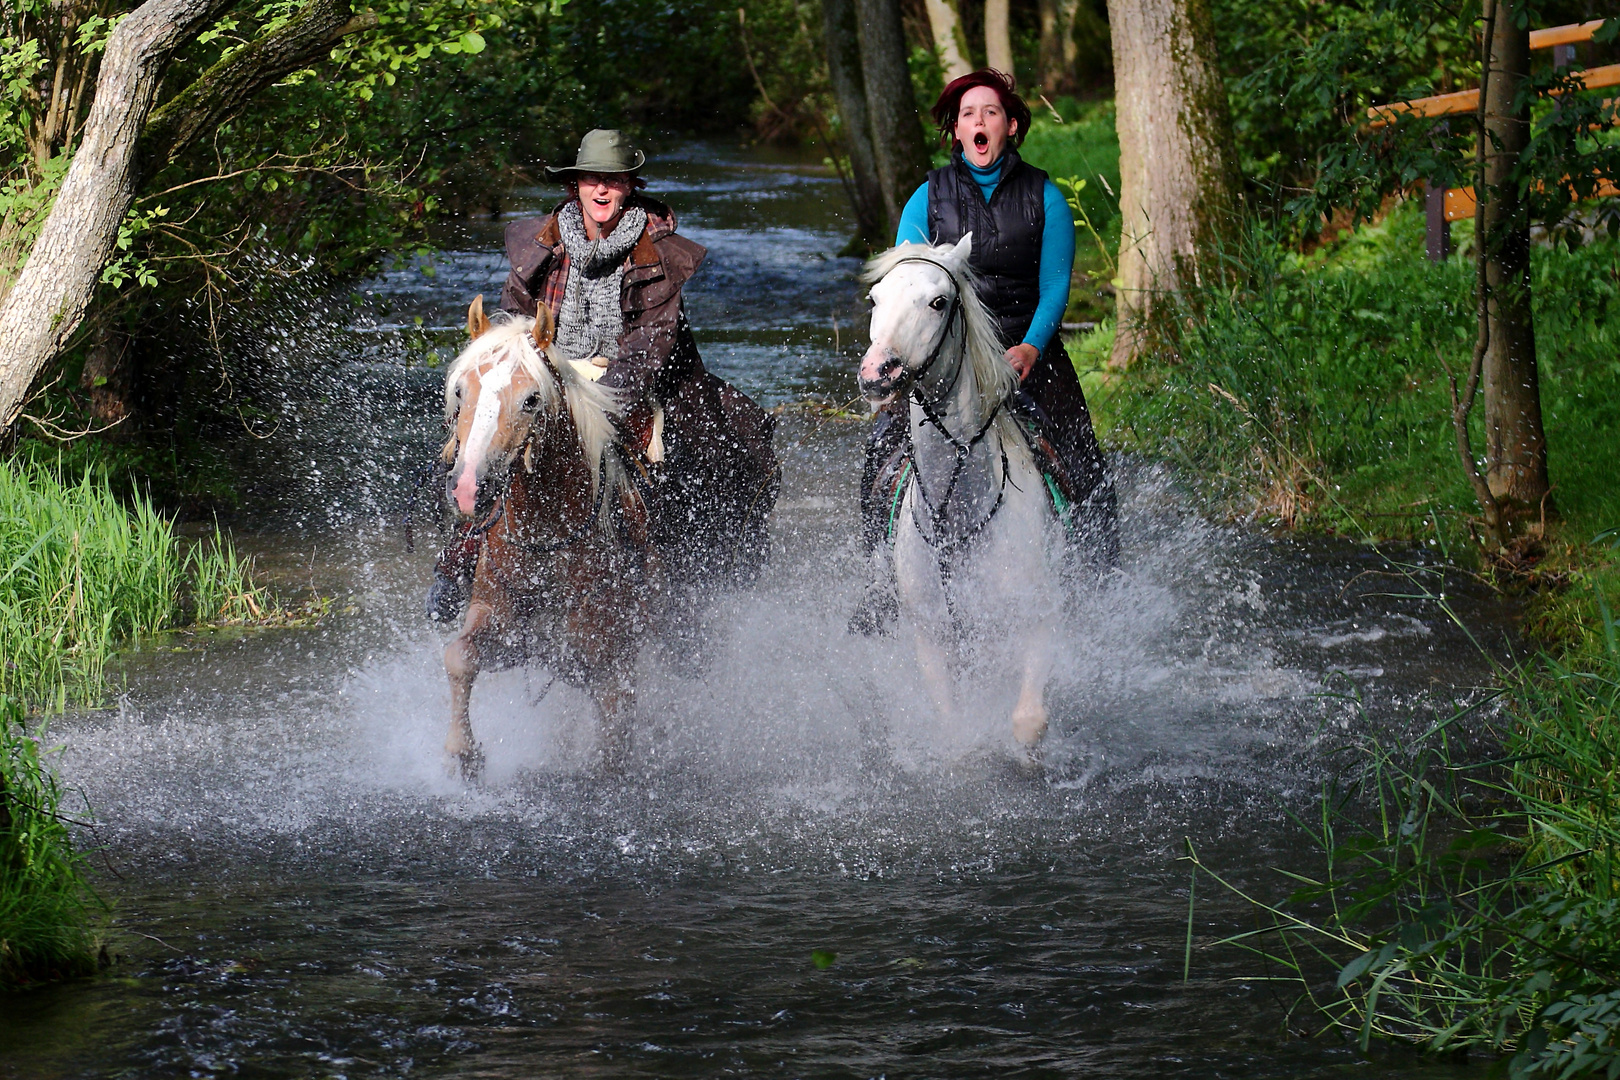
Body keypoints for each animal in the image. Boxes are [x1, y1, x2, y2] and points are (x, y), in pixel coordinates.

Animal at [440, 296, 660, 777]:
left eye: (531, 399)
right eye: (461, 391)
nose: (468, 489)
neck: (546, 545)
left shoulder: (611, 663)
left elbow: (614, 740)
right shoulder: (504, 627)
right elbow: (460, 657)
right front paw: (463, 753)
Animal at [855, 238, 1069, 751]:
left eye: (939, 302)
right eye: (875, 299)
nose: (876, 373)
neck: (958, 515)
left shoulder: (1036, 621)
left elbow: (1028, 722)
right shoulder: (933, 639)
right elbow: (953, 728)